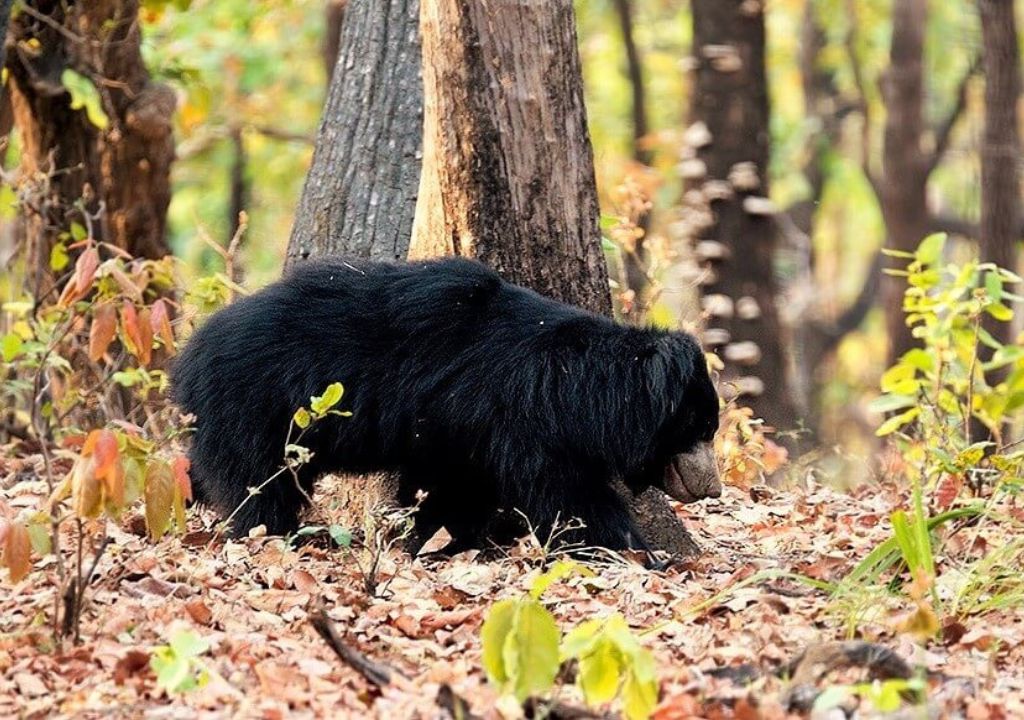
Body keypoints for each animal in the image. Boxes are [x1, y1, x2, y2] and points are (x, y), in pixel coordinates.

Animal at [171, 257, 722, 551]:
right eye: (701, 429)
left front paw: (435, 541)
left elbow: (451, 485)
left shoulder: (459, 432)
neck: (572, 384)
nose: (712, 489)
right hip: (257, 405)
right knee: (259, 484)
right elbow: (565, 493)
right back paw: (275, 535)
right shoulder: (513, 418)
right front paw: (640, 552)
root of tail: (189, 354)